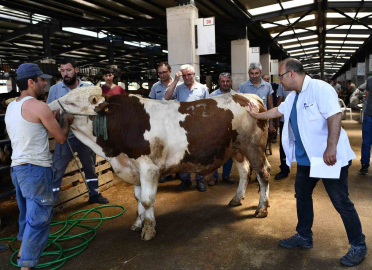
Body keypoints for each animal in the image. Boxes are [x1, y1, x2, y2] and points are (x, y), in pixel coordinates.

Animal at [48, 86, 270, 240]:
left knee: (263, 173)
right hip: (236, 149)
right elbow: (138, 198)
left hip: (253, 147)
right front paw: (138, 222)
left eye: (71, 103)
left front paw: (148, 228)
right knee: (244, 171)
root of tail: (249, 97)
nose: (47, 107)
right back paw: (237, 198)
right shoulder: (134, 168)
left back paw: (262, 208)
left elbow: (147, 200)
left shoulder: (149, 168)